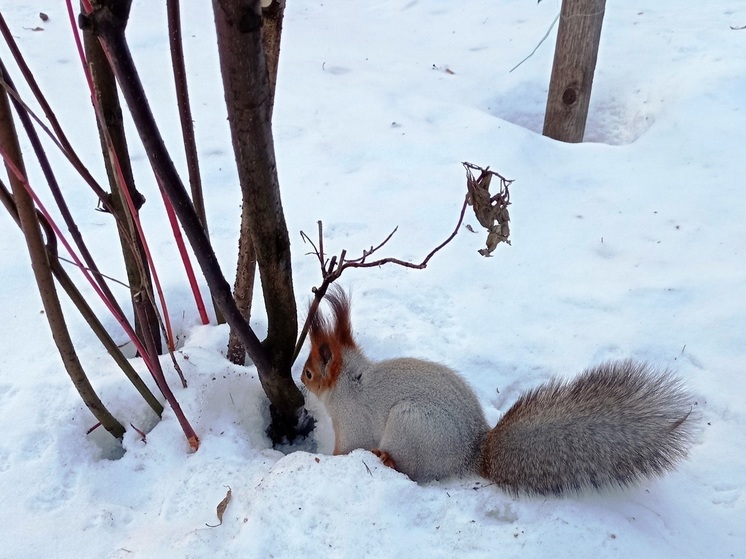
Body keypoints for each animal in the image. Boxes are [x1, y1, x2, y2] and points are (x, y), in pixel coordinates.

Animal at [300, 290, 696, 496]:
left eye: (308, 371)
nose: (302, 384)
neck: (349, 382)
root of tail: (473, 452)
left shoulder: (353, 424)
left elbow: (346, 448)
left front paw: (328, 461)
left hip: (410, 425)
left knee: (411, 471)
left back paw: (386, 460)